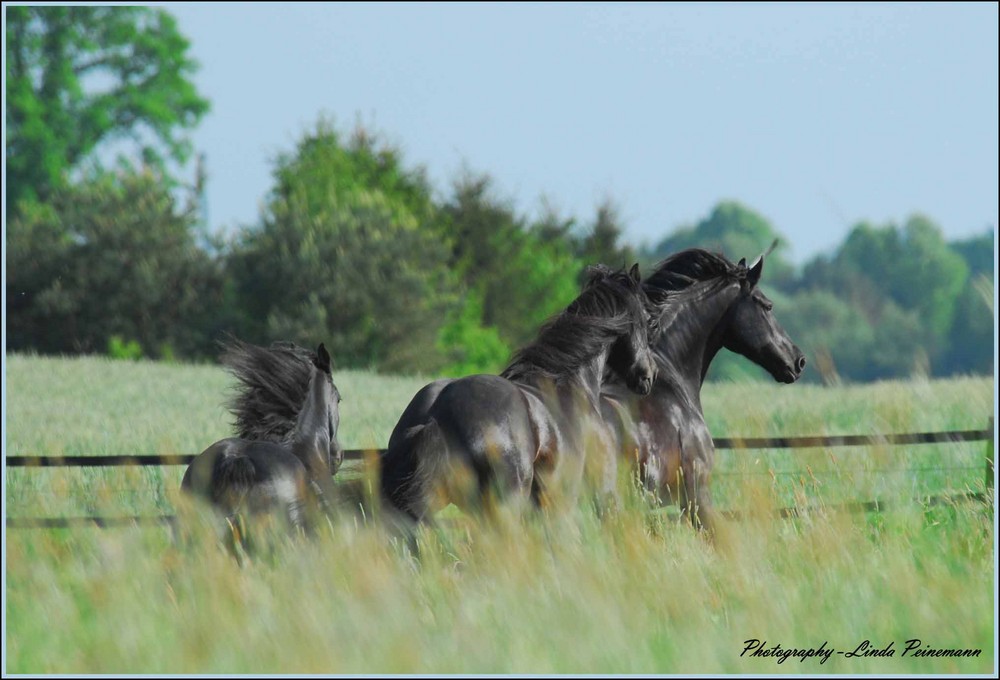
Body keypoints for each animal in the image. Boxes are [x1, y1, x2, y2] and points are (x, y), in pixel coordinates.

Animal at [380, 262, 656, 524]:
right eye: (646, 318)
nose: (649, 374)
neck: (570, 385)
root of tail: (436, 415)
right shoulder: (589, 495)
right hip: (503, 508)